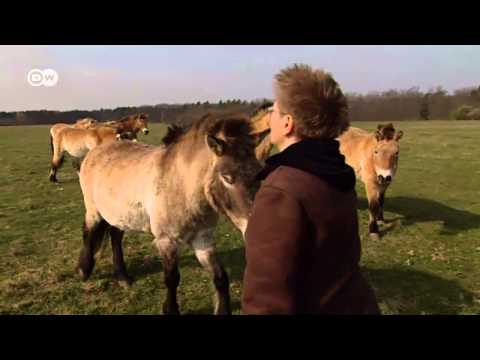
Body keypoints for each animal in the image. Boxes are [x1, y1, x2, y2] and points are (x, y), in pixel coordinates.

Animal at [76, 112, 262, 316]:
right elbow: (172, 278)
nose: (253, 231)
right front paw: (170, 309)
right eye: (227, 178)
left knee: (115, 237)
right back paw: (83, 271)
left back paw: (123, 277)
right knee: (88, 232)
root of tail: (96, 151)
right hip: (93, 210)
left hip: (119, 215)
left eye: (260, 173)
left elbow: (220, 276)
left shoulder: (203, 239)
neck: (182, 185)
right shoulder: (167, 241)